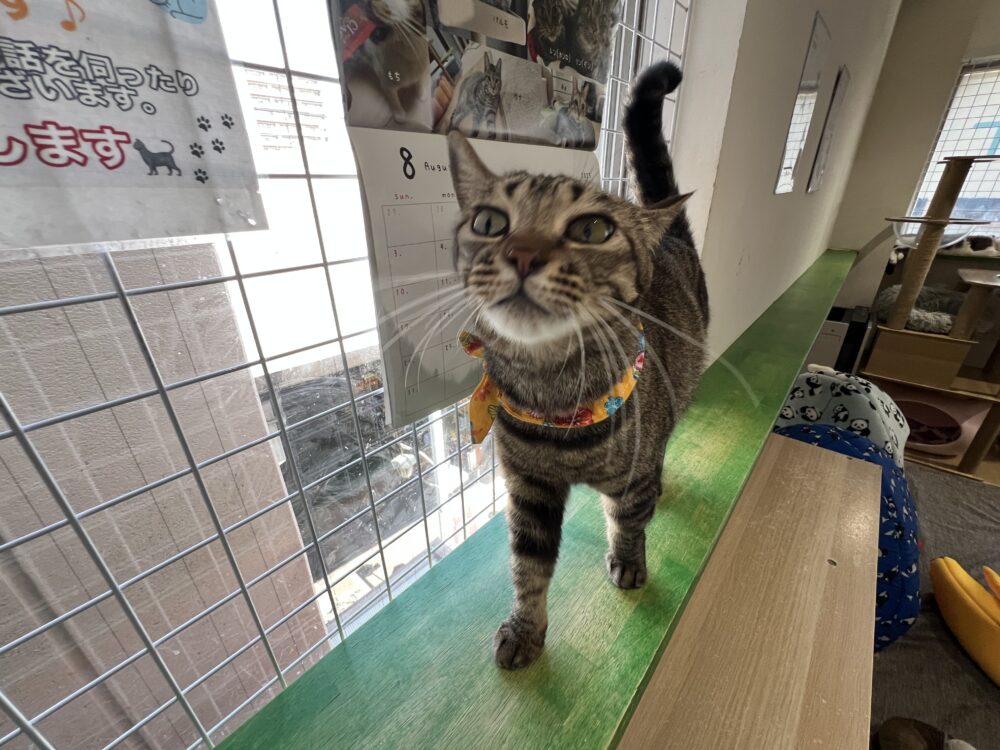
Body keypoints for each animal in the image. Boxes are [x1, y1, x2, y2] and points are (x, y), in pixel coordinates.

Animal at [447, 62, 707, 669]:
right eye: (489, 221)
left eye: (592, 229)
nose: (521, 253)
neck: (553, 398)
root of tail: (672, 239)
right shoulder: (528, 487)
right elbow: (529, 566)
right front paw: (525, 629)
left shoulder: (633, 475)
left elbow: (629, 520)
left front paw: (630, 559)